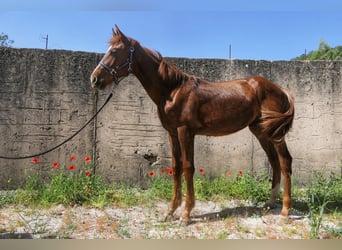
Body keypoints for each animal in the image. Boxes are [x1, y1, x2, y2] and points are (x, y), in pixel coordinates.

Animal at [90, 24, 294, 225]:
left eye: (115, 51)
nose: (94, 79)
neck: (172, 91)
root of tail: (281, 89)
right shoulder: (172, 132)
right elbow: (176, 166)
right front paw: (171, 211)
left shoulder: (185, 131)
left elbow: (188, 167)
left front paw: (185, 213)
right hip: (261, 132)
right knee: (274, 161)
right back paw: (270, 202)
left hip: (275, 134)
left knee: (285, 161)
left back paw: (285, 211)